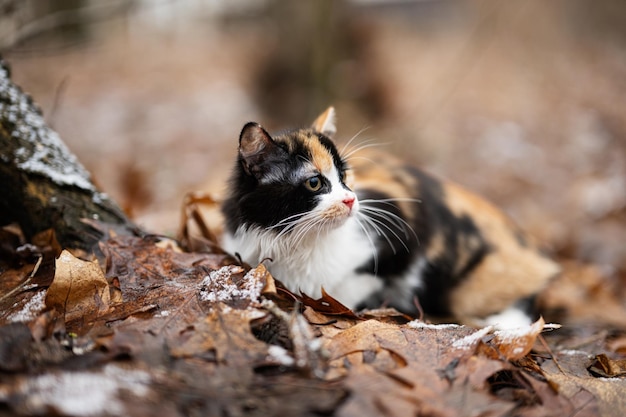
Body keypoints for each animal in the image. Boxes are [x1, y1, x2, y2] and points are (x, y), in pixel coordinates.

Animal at [222, 106, 560, 324]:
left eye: (345, 175)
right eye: (315, 182)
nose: (351, 199)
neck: (299, 240)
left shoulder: (400, 225)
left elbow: (362, 280)